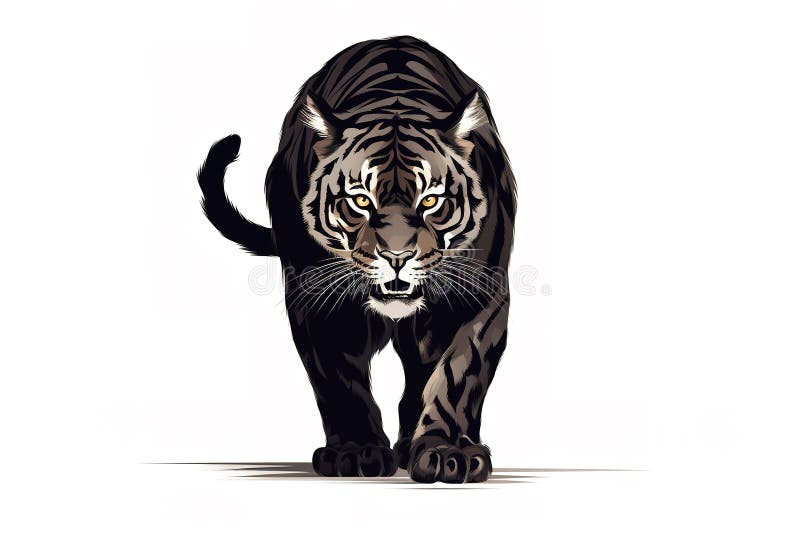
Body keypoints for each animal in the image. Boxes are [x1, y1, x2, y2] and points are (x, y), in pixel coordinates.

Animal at [197, 36, 516, 483]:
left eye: (430, 201)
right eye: (361, 201)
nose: (397, 256)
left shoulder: (477, 294)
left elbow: (458, 374)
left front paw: (447, 452)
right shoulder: (318, 298)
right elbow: (339, 381)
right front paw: (355, 451)